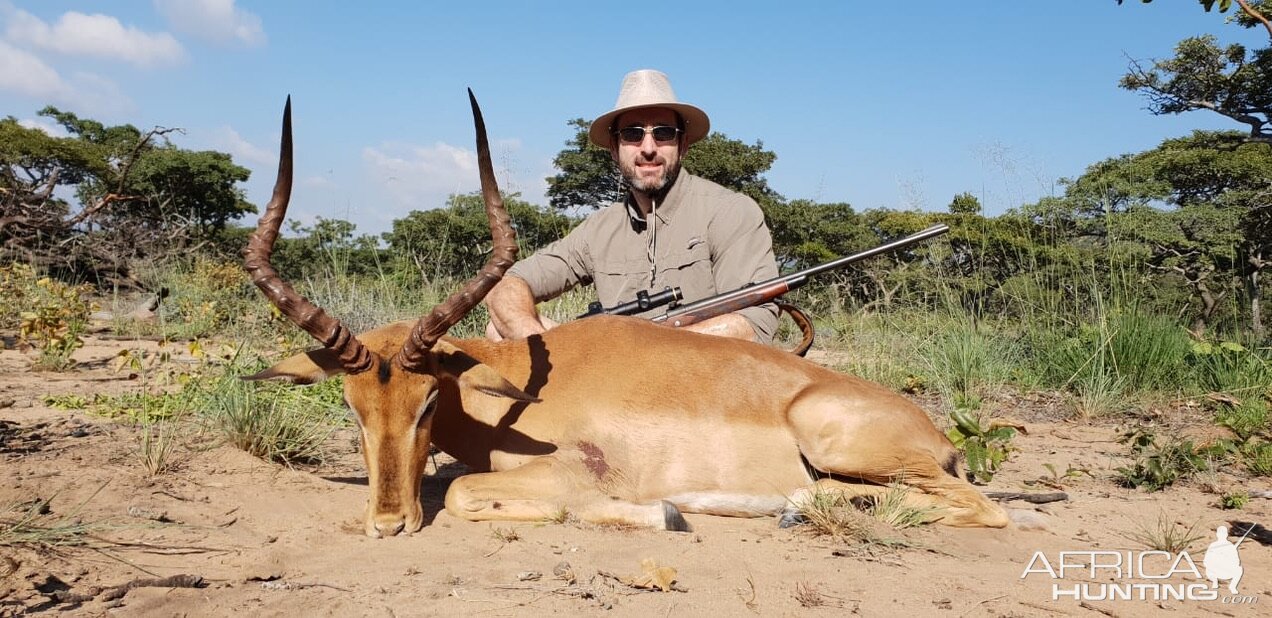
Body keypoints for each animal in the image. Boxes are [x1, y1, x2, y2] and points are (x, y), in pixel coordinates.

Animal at [242, 91, 1007, 536]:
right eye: (351, 406)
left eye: (429, 399)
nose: (387, 523)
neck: (515, 401)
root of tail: (932, 429)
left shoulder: (561, 475)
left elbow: (461, 492)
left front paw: (657, 512)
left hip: (837, 444)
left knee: (983, 509)